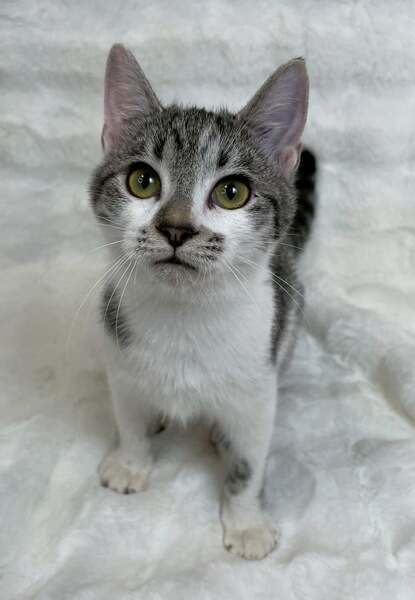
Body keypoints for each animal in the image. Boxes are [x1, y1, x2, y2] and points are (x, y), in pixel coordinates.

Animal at [89, 44, 316, 560]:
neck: (184, 317)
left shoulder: (258, 388)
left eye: (232, 192)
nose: (176, 228)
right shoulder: (119, 356)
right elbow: (128, 415)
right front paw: (131, 461)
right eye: (142, 181)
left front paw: (246, 523)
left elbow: (249, 462)